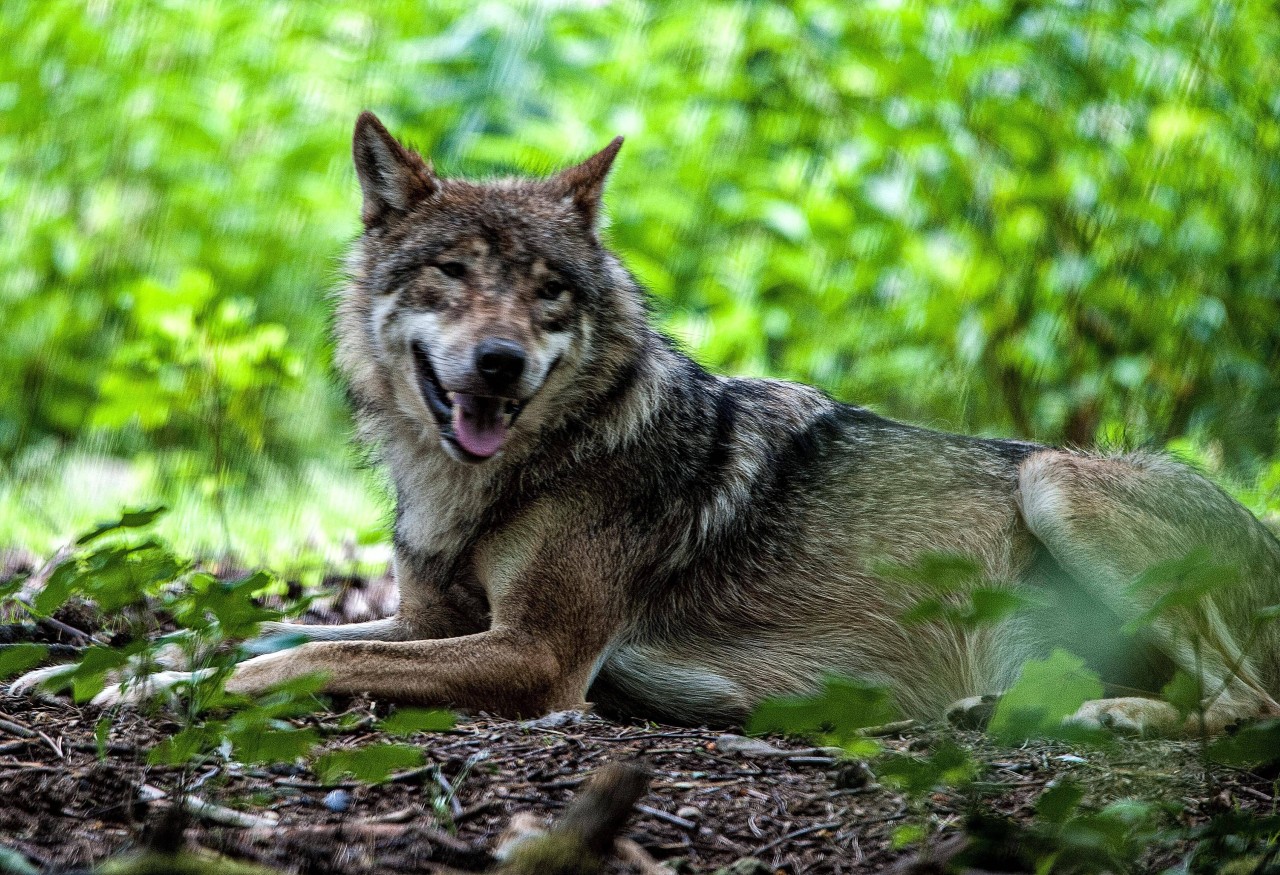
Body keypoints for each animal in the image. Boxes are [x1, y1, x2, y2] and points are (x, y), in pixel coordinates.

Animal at [17, 112, 1280, 736]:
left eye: (546, 292)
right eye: (452, 275)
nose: (497, 361)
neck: (497, 479)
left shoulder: (537, 657)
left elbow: (309, 655)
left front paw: (149, 694)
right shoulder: (428, 613)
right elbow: (249, 632)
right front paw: (68, 669)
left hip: (1055, 478)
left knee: (1247, 705)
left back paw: (1102, 718)